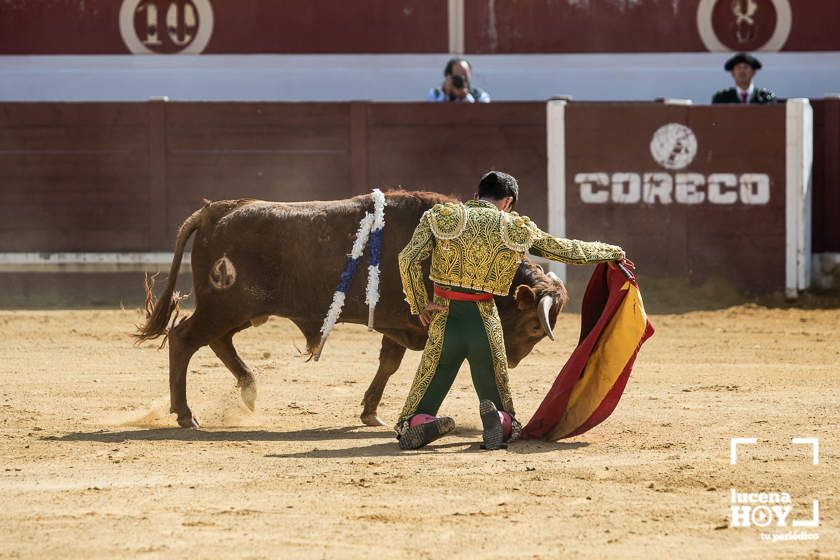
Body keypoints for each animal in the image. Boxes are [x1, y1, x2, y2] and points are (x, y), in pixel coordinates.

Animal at [138, 190, 568, 426]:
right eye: (535, 327)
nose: (512, 361)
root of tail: (217, 209)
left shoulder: (401, 327)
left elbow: (388, 364)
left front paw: (370, 413)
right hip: (224, 305)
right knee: (184, 338)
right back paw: (185, 414)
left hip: (239, 310)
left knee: (217, 342)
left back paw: (248, 390)